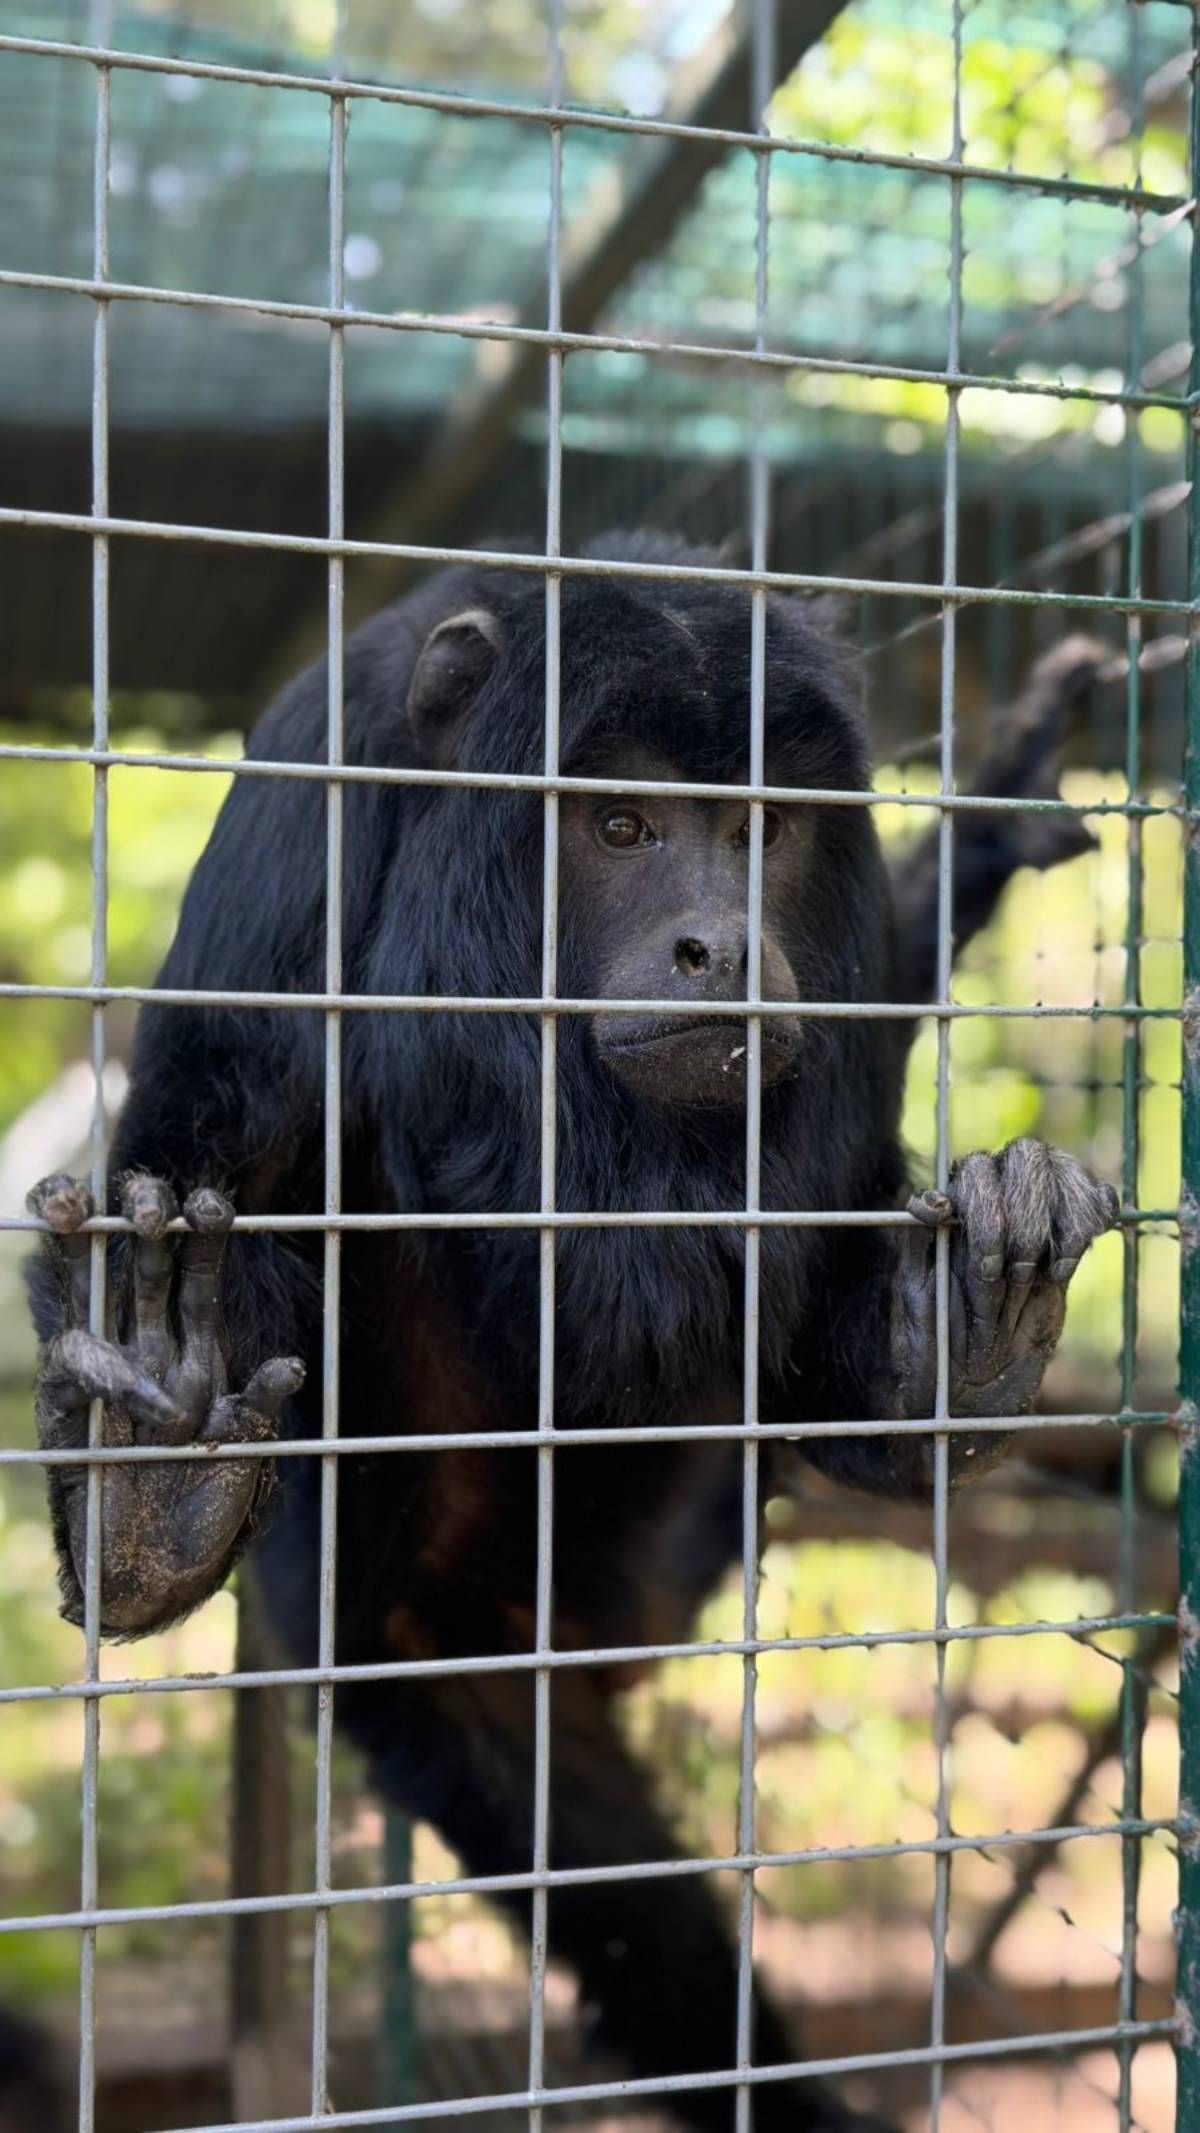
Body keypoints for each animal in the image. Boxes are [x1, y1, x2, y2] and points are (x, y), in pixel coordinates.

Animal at [25, 537, 1116, 2133]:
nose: (726, 946)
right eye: (617, 824)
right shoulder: (315, 790)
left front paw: (957, 1331)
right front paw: (145, 1480)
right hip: (439, 1650)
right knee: (592, 1868)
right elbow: (206, 1129)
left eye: (761, 832)